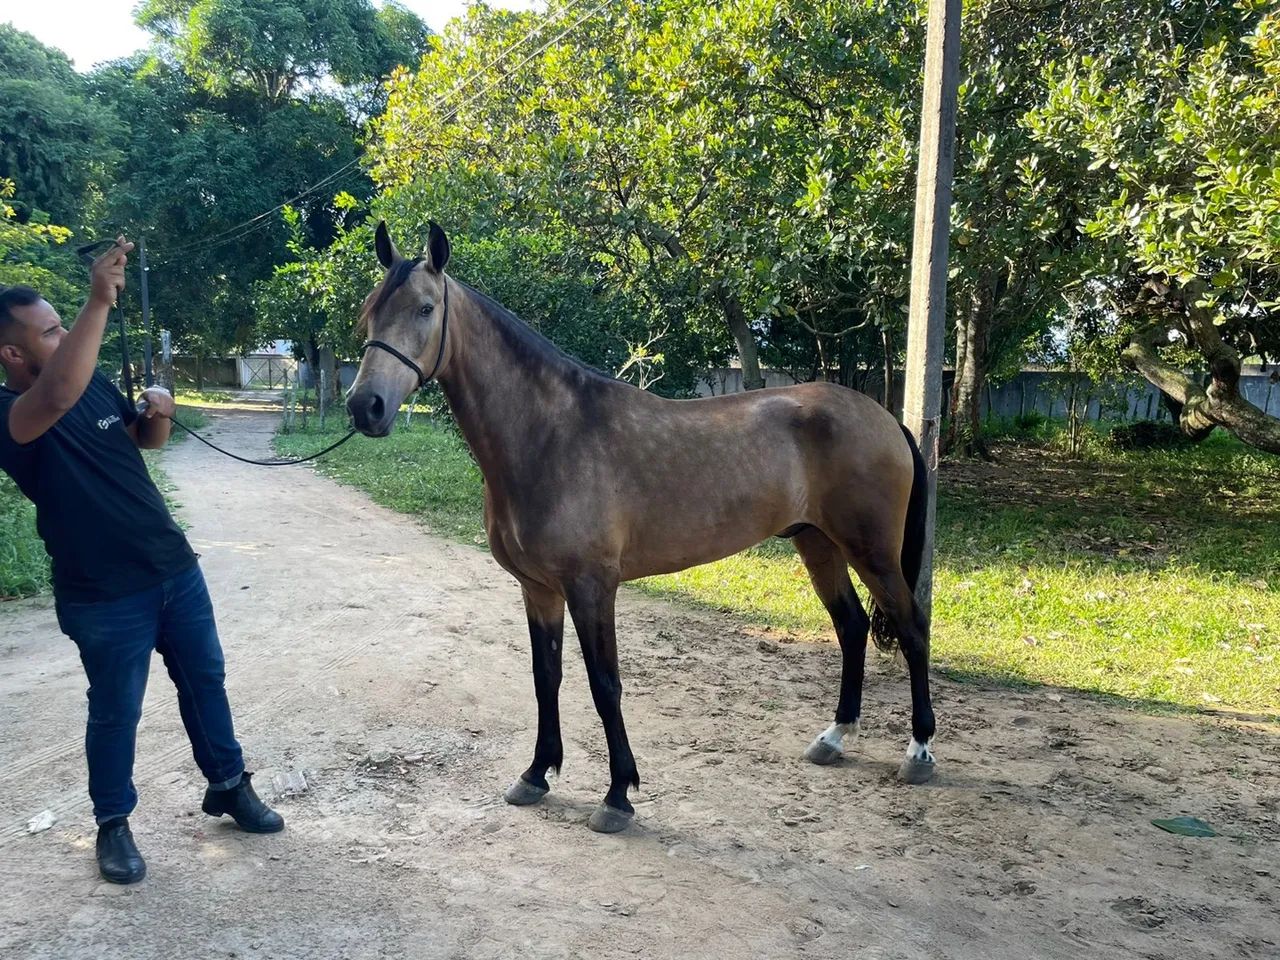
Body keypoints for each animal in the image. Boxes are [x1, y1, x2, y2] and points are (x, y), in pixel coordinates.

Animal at [347, 221, 937, 833]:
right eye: (370, 311)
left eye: (425, 308)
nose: (365, 406)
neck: (550, 437)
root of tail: (884, 417)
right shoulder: (538, 589)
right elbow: (545, 677)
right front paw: (536, 773)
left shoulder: (591, 587)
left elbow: (605, 684)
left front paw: (617, 795)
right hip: (817, 543)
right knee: (851, 627)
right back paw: (835, 736)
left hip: (871, 550)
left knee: (911, 627)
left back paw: (919, 750)